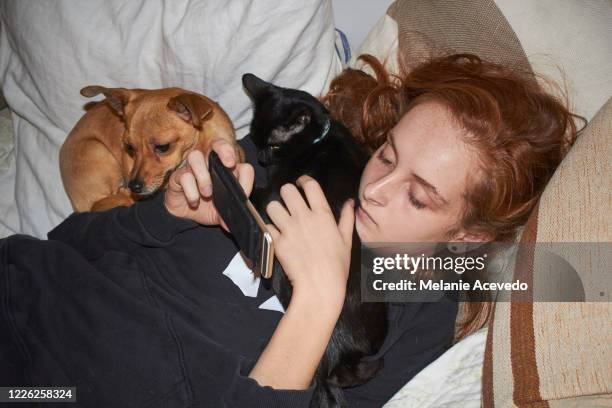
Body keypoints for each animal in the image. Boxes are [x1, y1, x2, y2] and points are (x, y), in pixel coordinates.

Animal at [243, 74, 388, 408]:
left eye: (274, 145)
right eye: (255, 139)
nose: (260, 158)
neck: (320, 137)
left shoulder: (273, 194)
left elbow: (256, 191)